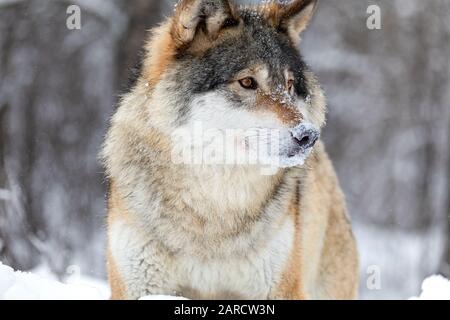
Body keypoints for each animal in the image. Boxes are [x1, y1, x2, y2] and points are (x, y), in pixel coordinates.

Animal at [101, 0, 358, 300]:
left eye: (290, 85)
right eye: (247, 82)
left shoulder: (280, 290)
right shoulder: (139, 288)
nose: (308, 135)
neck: (214, 206)